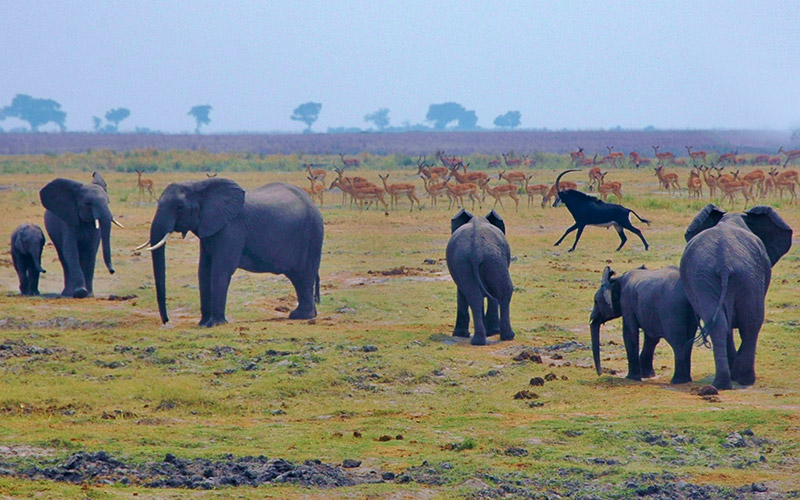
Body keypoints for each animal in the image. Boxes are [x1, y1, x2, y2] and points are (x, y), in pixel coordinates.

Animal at [142, 178, 324, 326]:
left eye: (180, 207)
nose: (166, 321)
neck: (199, 185)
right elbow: (204, 270)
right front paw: (202, 324)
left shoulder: (231, 228)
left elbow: (221, 269)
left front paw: (214, 324)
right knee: (298, 278)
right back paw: (305, 315)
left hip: (312, 234)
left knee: (304, 275)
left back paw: (300, 316)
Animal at [446, 209, 516, 346]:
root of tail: (476, 249)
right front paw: (493, 332)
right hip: (493, 259)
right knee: (503, 291)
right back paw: (505, 336)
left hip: (474, 259)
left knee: (474, 295)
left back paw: (481, 340)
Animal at [680, 204, 792, 390]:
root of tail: (724, 262)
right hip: (742, 276)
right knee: (750, 322)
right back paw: (740, 379)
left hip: (716, 277)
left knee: (731, 323)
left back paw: (727, 382)